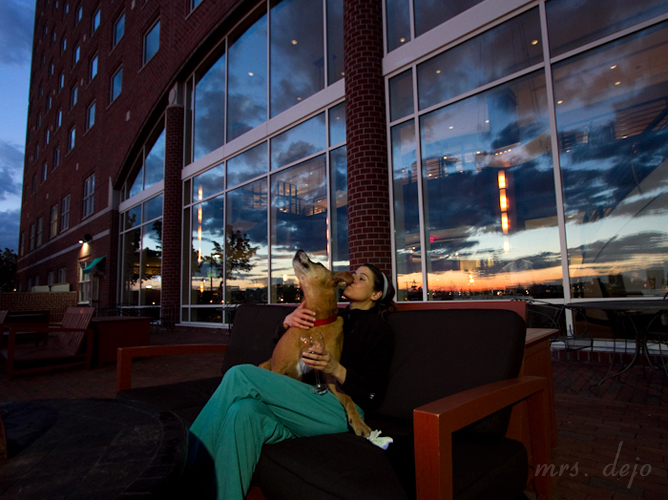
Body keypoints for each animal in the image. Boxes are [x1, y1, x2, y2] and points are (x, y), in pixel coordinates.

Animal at [259, 250, 372, 437]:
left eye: (318, 263)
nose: (299, 250)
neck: (315, 322)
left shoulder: (329, 375)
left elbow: (348, 398)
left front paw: (359, 422)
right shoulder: (278, 369)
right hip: (264, 365)